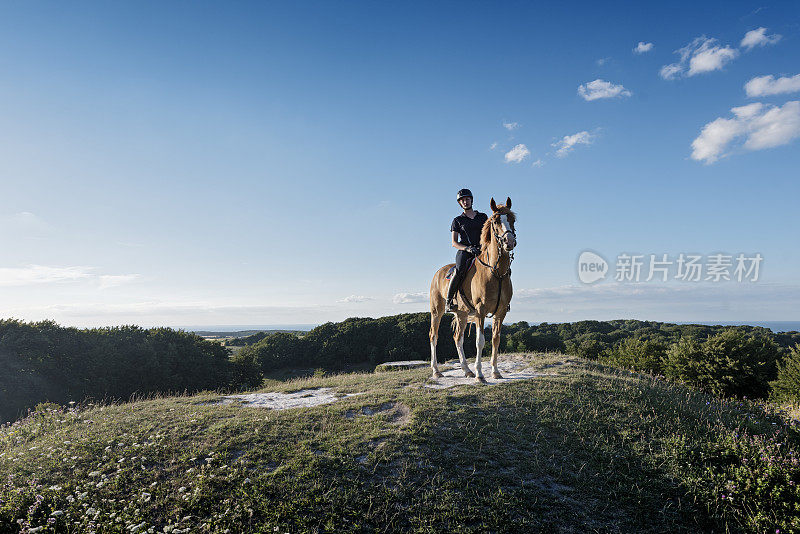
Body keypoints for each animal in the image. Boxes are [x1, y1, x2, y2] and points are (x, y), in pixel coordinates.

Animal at [428, 199, 516, 384]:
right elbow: (480, 341)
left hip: (461, 314)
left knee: (458, 337)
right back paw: (436, 371)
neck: (496, 272)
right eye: (496, 221)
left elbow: (496, 340)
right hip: (436, 311)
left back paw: (466, 369)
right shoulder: (480, 311)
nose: (509, 242)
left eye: (512, 219)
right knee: (434, 336)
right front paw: (480, 374)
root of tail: (438, 272)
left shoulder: (501, 312)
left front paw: (495, 371)